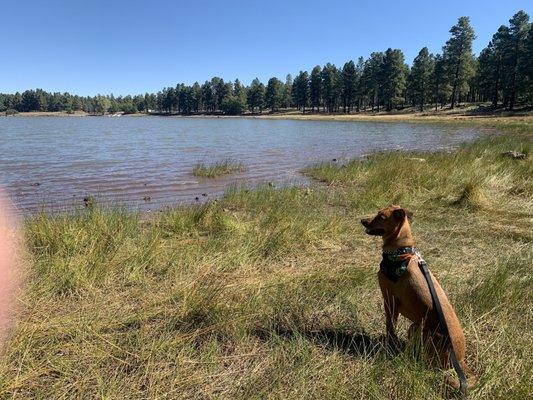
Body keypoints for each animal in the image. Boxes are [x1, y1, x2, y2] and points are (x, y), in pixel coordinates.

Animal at [360, 206, 476, 390]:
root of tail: (460, 360)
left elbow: (390, 326)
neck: (400, 252)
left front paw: (389, 344)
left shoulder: (389, 300)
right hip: (415, 327)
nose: (362, 221)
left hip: (420, 332)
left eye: (381, 216)